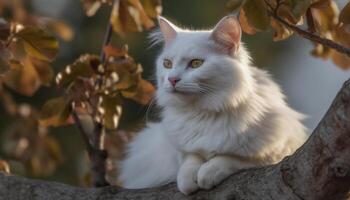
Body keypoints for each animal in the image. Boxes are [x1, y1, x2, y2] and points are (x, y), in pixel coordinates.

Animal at [119, 16, 308, 195]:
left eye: (196, 63)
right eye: (167, 64)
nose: (172, 79)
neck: (202, 113)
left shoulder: (276, 153)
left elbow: (232, 159)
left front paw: (208, 173)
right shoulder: (182, 150)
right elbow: (189, 161)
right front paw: (188, 180)